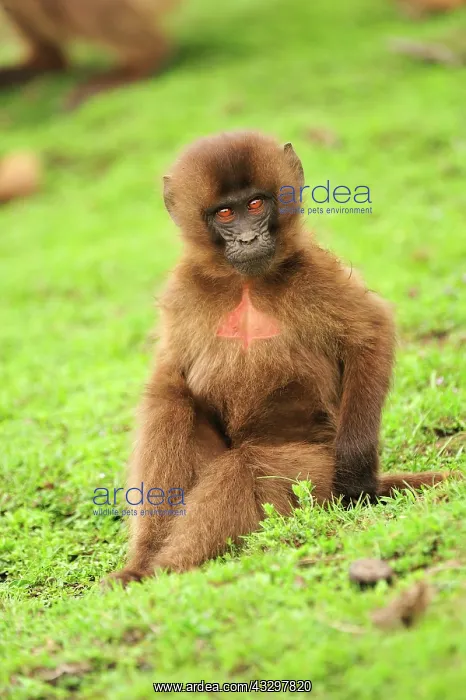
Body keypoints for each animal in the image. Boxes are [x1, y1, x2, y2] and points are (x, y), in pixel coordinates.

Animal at [105, 131, 449, 587]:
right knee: (174, 405)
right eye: (225, 213)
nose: (248, 240)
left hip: (312, 470)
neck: (246, 284)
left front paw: (358, 474)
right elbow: (170, 378)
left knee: (247, 465)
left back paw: (164, 568)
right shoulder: (184, 288)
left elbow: (371, 333)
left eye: (255, 205)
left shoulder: (313, 270)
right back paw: (144, 565)